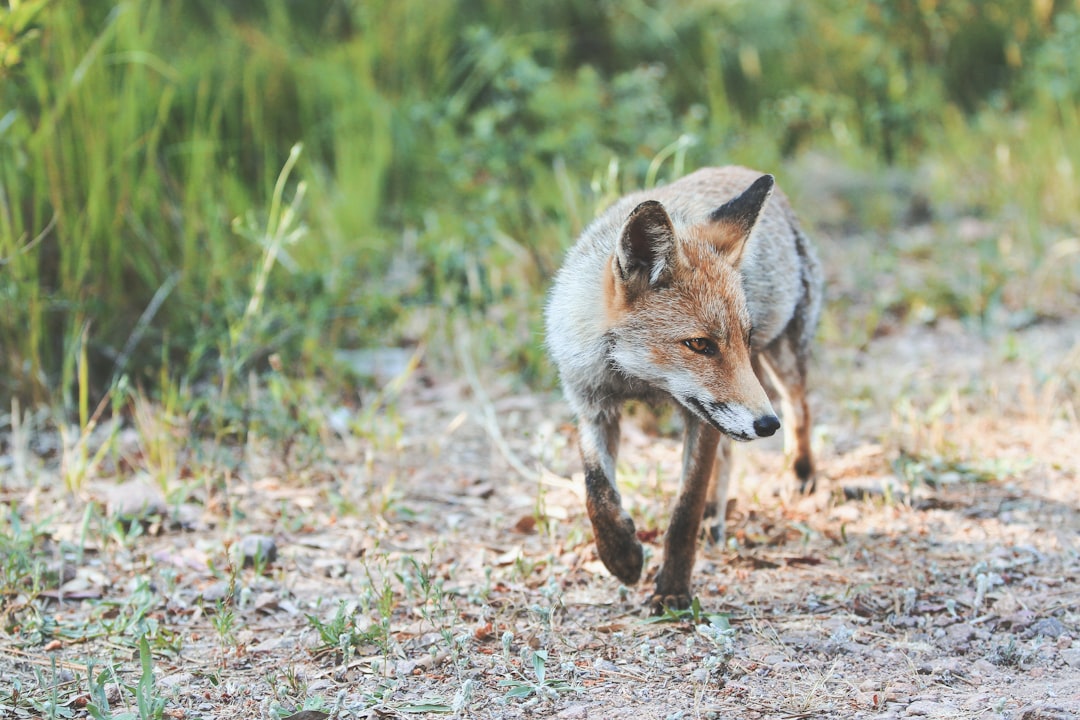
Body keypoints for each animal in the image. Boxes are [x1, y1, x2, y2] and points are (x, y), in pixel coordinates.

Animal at [544, 166, 820, 613]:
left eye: (743, 338)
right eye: (700, 344)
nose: (766, 425)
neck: (638, 380)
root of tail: (739, 169)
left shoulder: (702, 418)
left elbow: (684, 510)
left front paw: (673, 589)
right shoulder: (592, 405)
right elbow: (595, 491)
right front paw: (620, 555)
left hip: (783, 357)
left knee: (800, 410)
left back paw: (799, 474)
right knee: (730, 454)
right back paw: (716, 516)